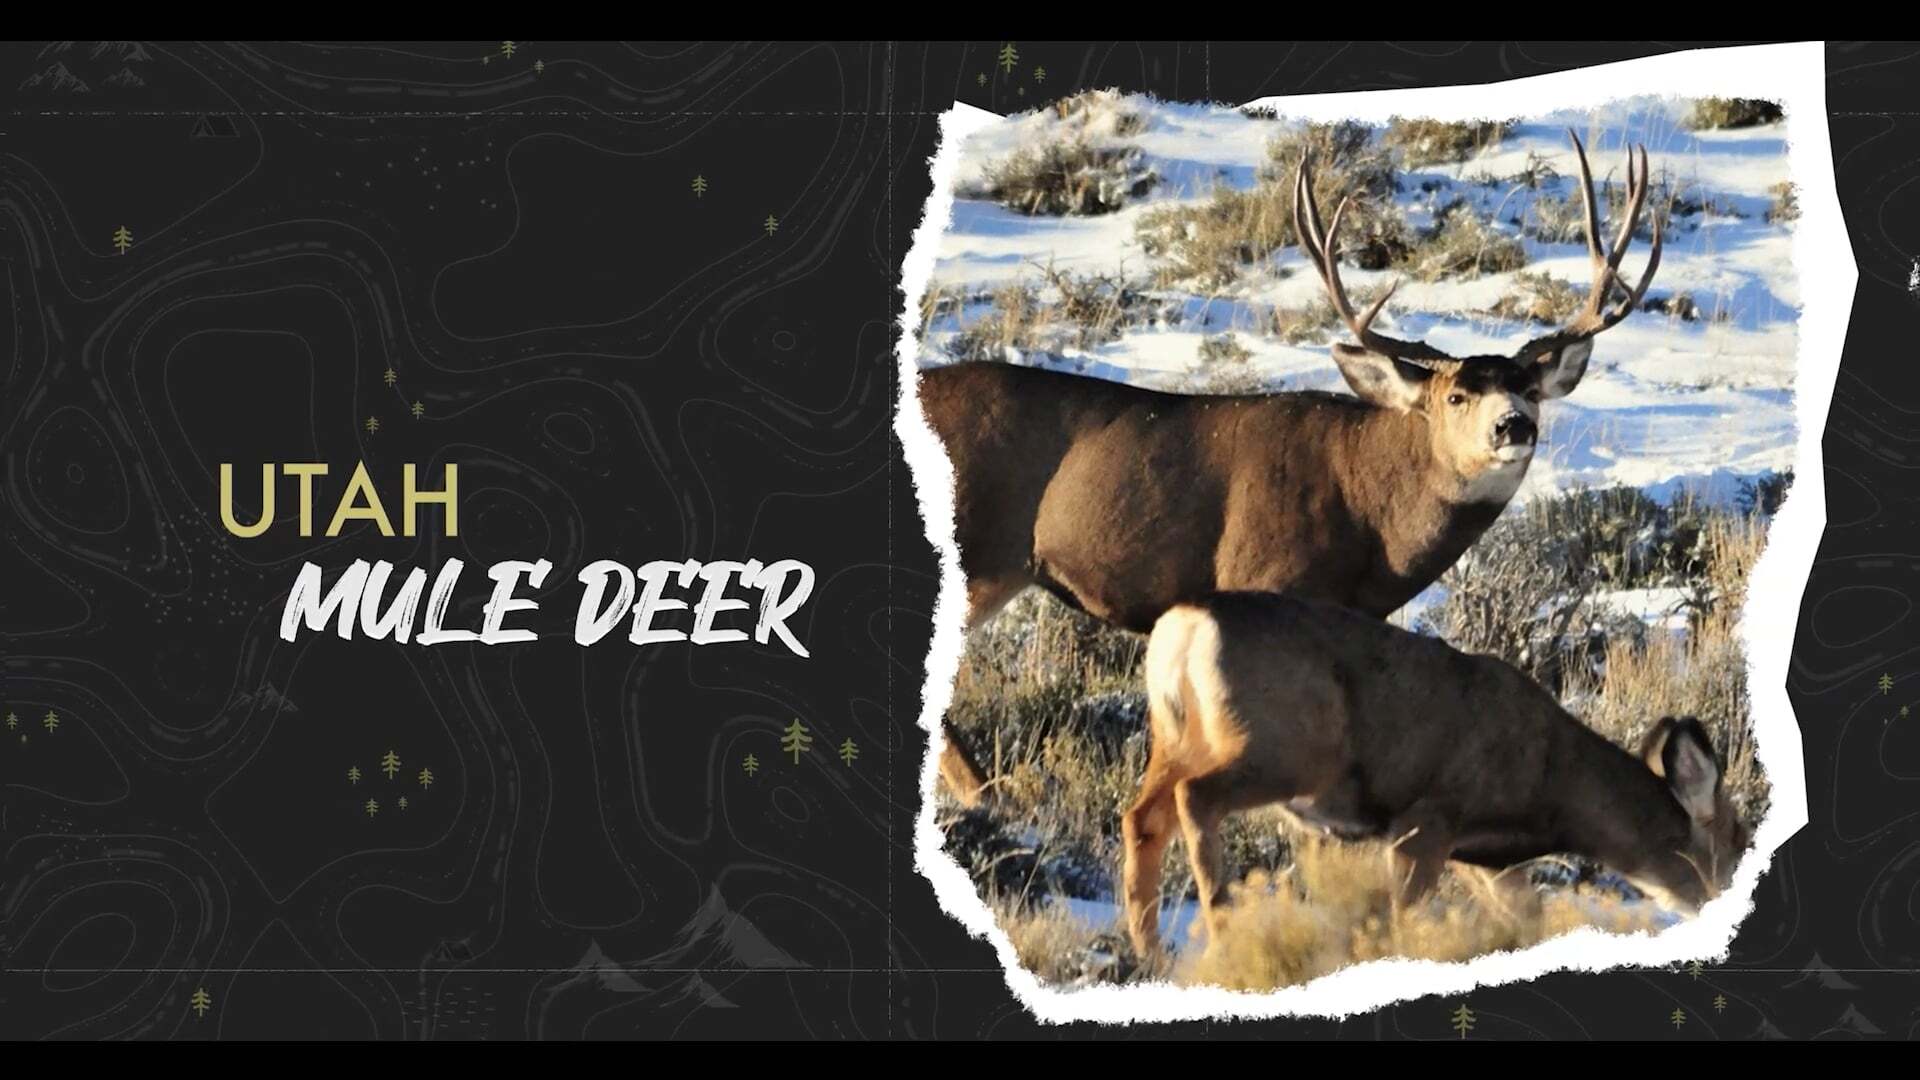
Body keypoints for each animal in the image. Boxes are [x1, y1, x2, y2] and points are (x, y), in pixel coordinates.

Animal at [918, 130, 1662, 806]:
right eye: (1455, 396)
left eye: (1530, 388)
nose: (1514, 425)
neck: (1372, 521)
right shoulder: (1258, 577)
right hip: (978, 551)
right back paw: (990, 796)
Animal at [1122, 591, 1751, 957]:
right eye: (1738, 839)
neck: (1552, 787)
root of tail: (1184, 626)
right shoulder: (1427, 819)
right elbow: (1404, 918)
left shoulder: (1481, 858)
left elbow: (1527, 917)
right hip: (1283, 748)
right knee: (1196, 797)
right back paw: (1222, 923)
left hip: (1177, 737)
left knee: (1141, 816)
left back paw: (1152, 951)